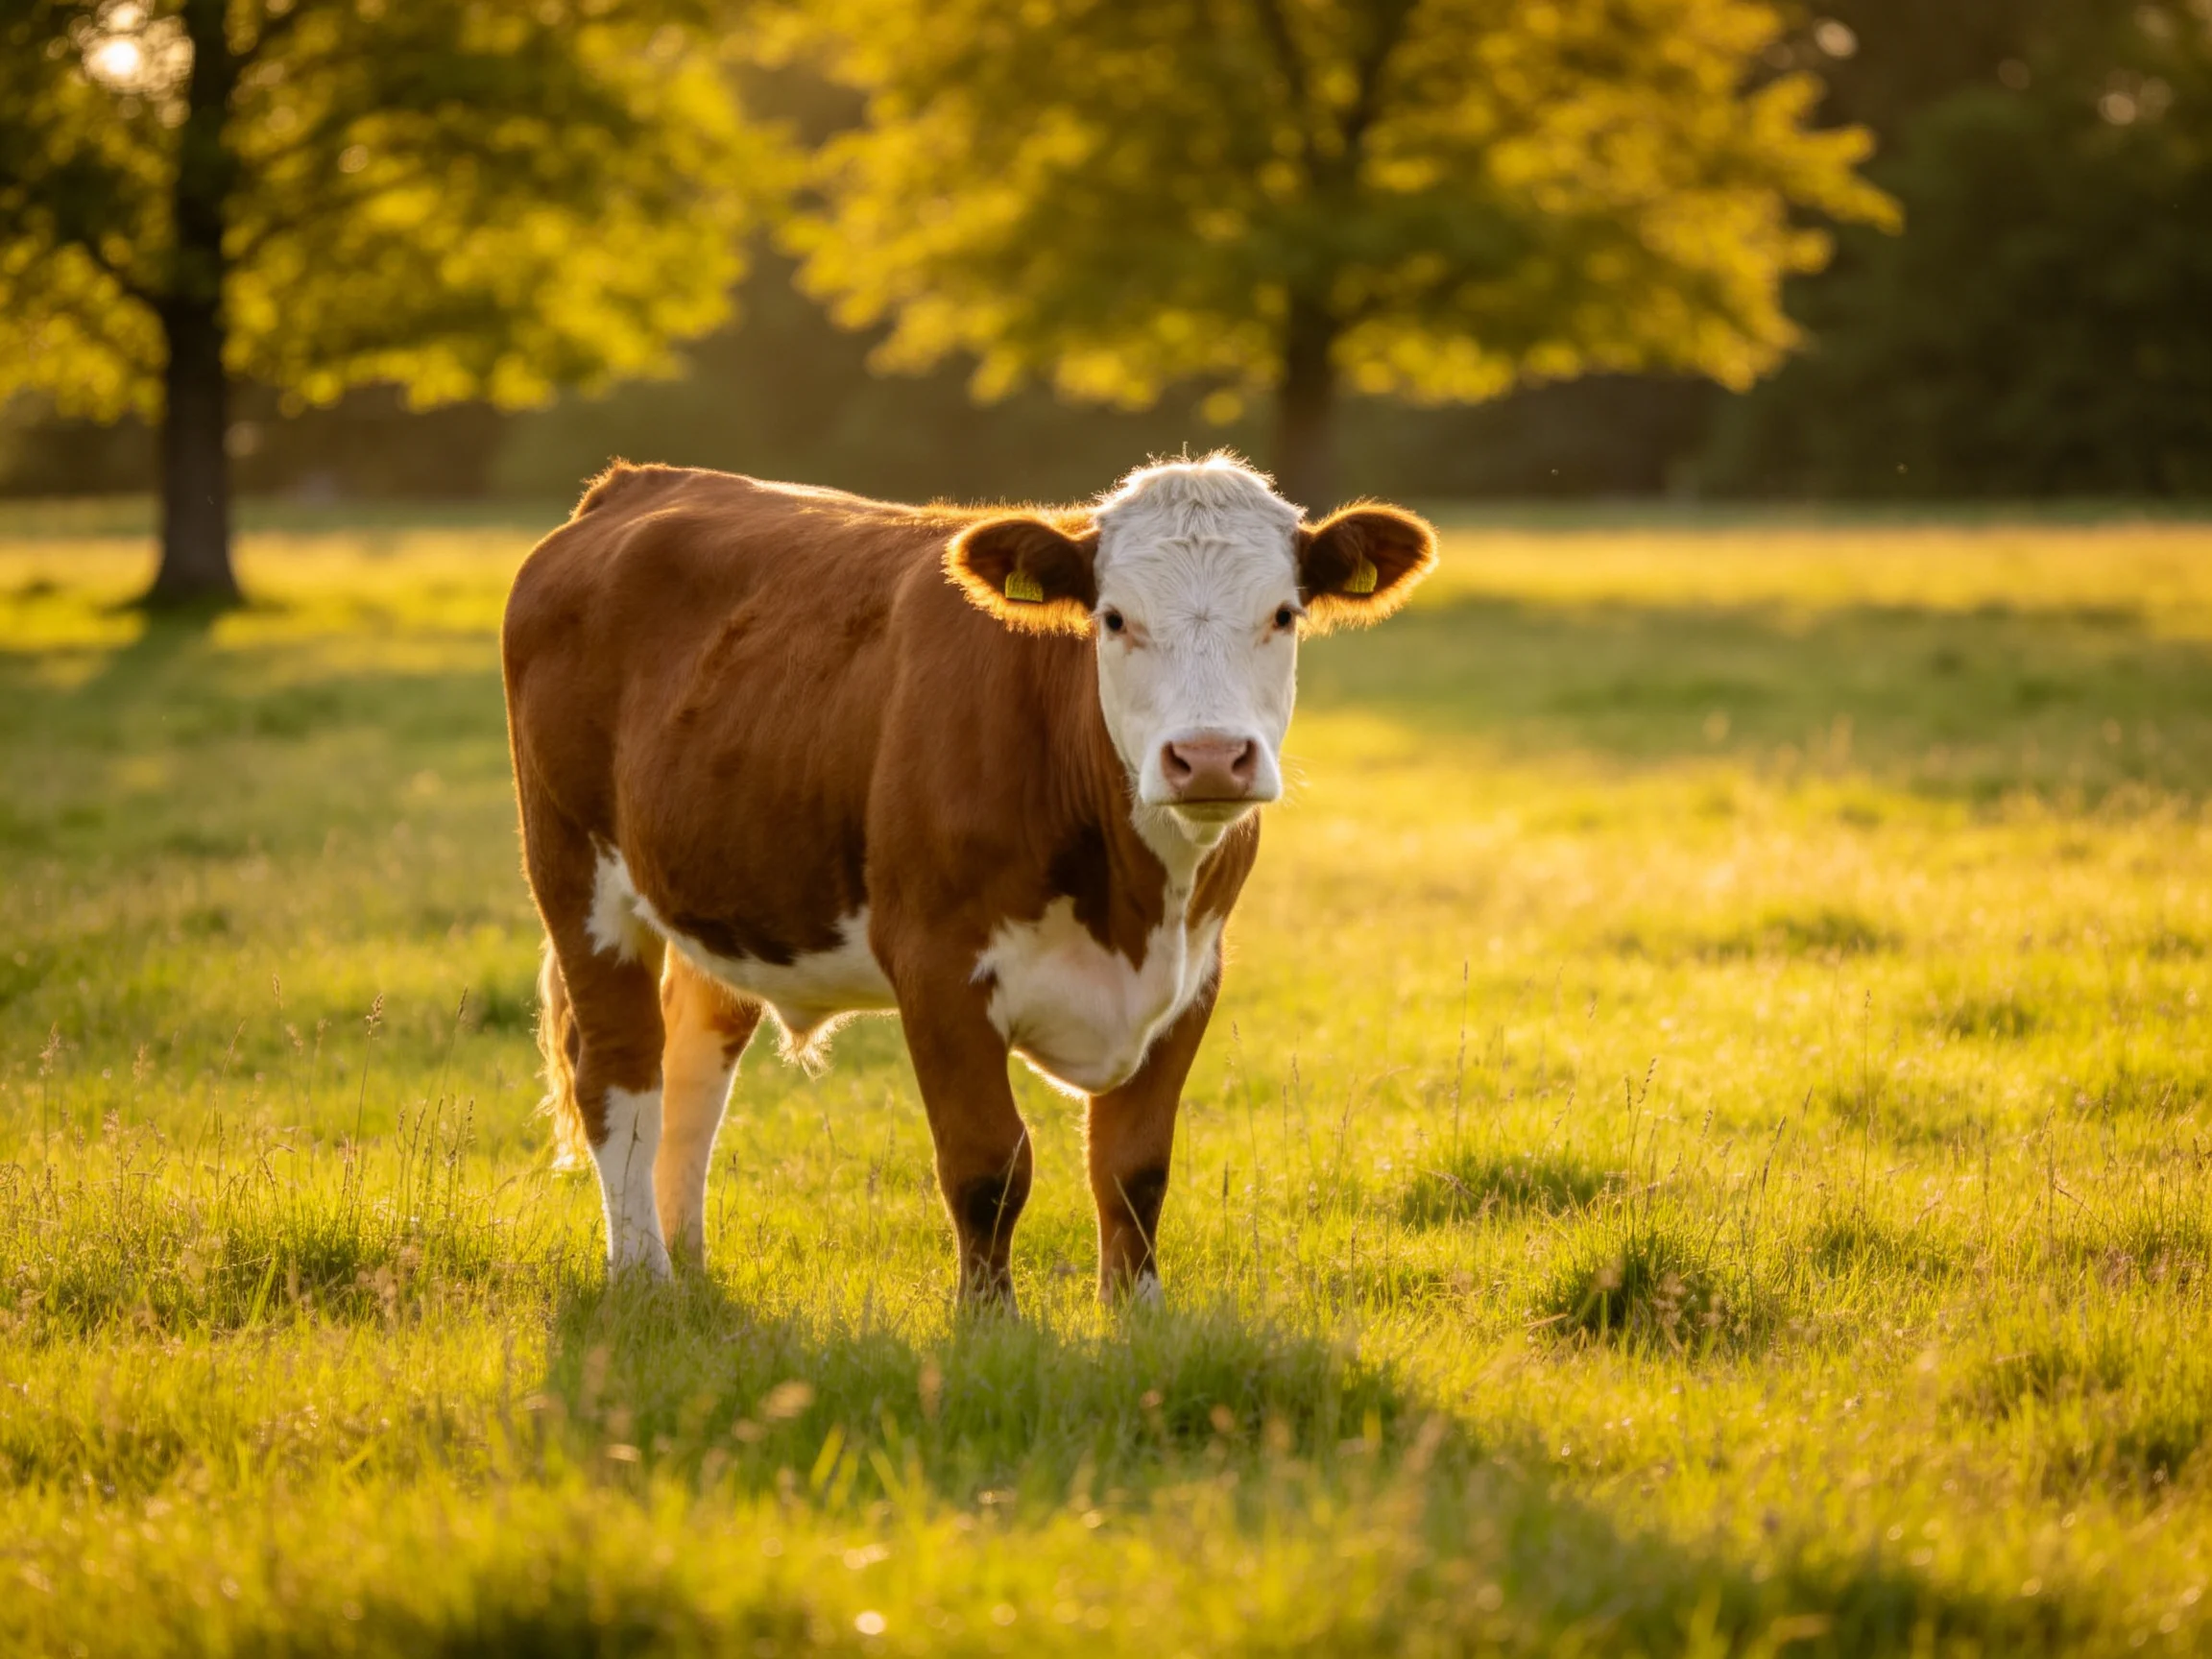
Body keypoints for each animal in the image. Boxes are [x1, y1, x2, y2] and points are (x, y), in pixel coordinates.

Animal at [502, 453, 1435, 1304]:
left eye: (1283, 614)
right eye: (1114, 617)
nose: (1208, 757)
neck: (1133, 904)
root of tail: (638, 480)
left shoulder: (1194, 973)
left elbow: (1134, 1167)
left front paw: (1139, 1317)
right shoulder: (938, 966)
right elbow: (989, 1166)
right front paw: (989, 1325)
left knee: (695, 1068)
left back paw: (688, 1265)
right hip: (574, 873)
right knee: (621, 1072)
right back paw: (643, 1278)